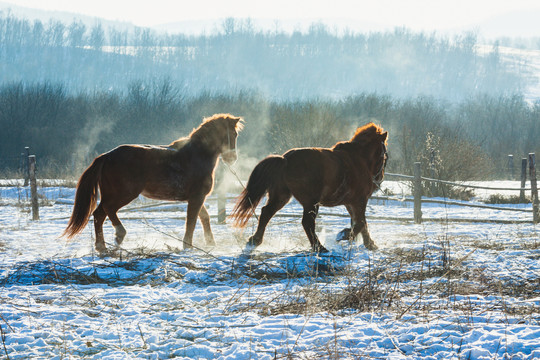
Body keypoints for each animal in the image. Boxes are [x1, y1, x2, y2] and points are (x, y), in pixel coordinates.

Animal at [63, 113, 243, 253]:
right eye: (233, 134)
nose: (232, 158)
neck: (196, 155)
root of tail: (106, 156)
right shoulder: (196, 197)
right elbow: (191, 221)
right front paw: (188, 246)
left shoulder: (196, 198)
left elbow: (204, 217)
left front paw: (210, 243)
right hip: (123, 194)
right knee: (107, 211)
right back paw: (119, 235)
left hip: (112, 194)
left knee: (99, 215)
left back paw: (102, 247)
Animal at [230, 124, 386, 253]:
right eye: (384, 156)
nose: (379, 180)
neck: (358, 160)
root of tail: (285, 159)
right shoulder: (359, 201)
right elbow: (361, 222)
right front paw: (345, 234)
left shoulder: (350, 203)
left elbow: (361, 222)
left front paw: (370, 244)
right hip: (311, 202)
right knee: (307, 222)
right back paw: (320, 247)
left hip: (282, 197)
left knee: (266, 213)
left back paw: (254, 240)